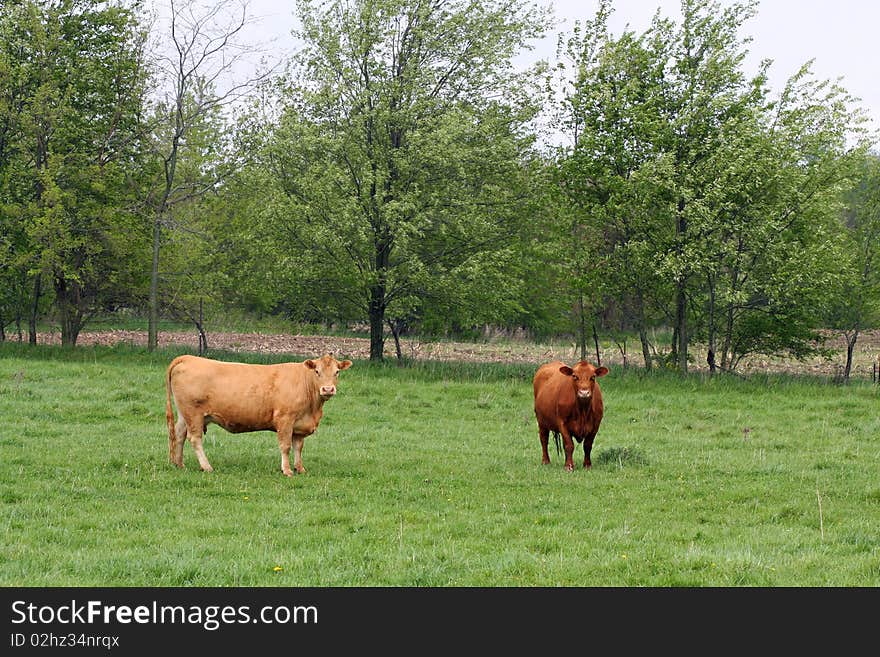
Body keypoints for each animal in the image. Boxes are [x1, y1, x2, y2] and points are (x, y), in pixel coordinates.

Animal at [167, 354, 352, 476]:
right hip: (193, 414)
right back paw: (206, 467)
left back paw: (179, 464)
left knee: (179, 435)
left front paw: (300, 468)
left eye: (337, 372)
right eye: (317, 372)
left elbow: (298, 447)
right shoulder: (285, 419)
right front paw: (287, 470)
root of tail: (188, 358)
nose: (328, 389)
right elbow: (285, 446)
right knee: (194, 438)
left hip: (185, 414)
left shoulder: (299, 425)